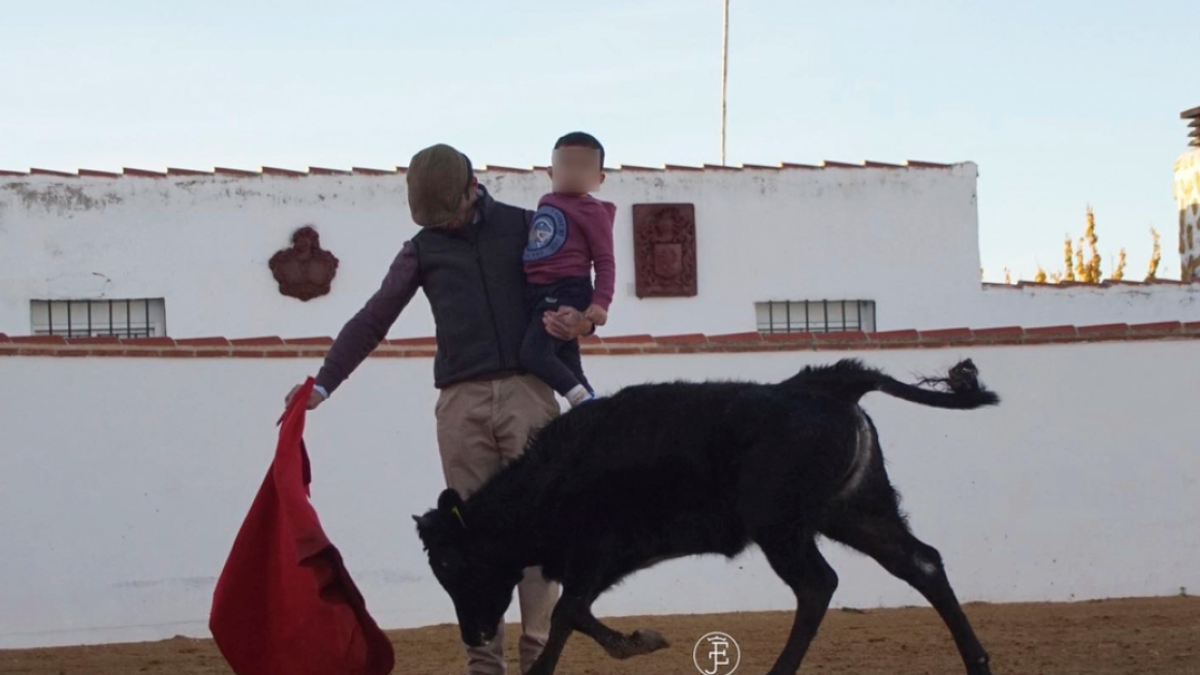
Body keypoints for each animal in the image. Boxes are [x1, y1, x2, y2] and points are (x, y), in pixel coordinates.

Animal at [417, 360, 998, 667]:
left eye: (449, 563)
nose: (474, 635)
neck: (554, 473)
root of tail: (823, 383)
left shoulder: (598, 554)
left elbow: (567, 613)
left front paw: (634, 643)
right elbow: (571, 615)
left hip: (782, 528)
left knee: (818, 585)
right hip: (856, 512)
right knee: (920, 563)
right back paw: (977, 661)